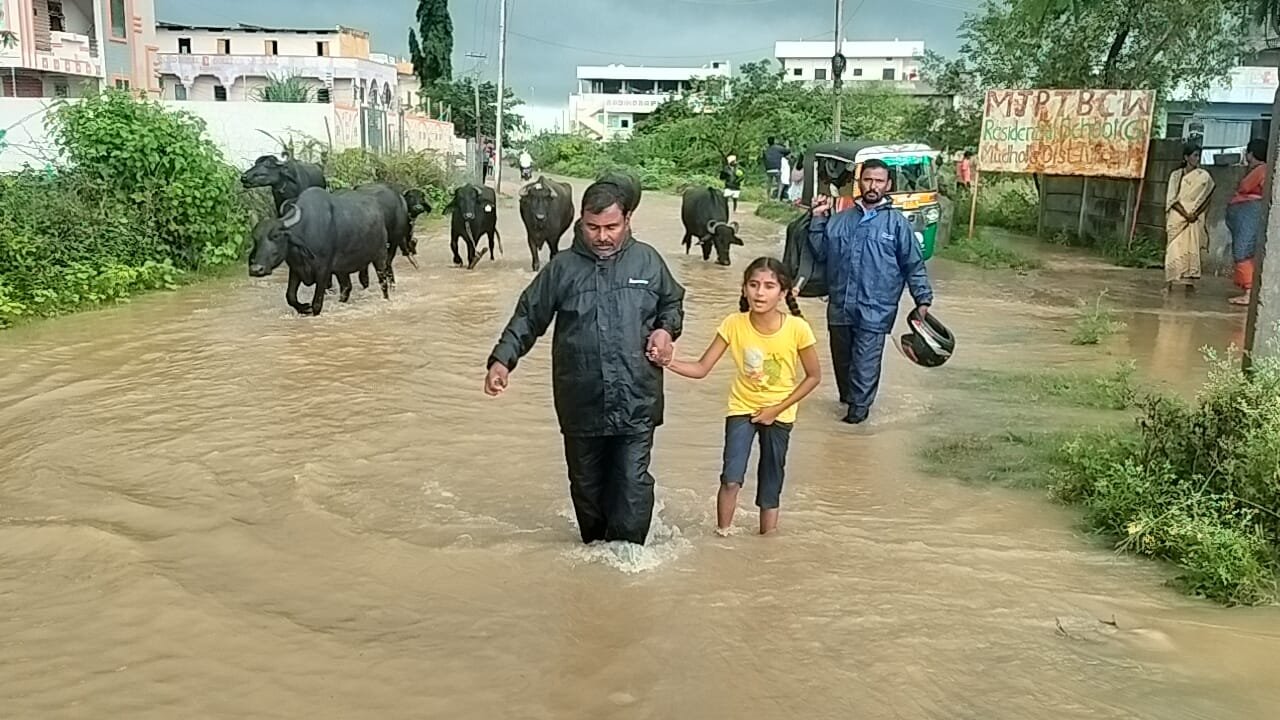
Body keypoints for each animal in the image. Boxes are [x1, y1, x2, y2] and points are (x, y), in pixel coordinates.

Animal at [248, 184, 389, 313]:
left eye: (276, 235)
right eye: (255, 238)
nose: (256, 269)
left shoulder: (323, 270)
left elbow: (316, 304)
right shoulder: (296, 269)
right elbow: (290, 296)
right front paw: (304, 308)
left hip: (380, 255)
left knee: (383, 282)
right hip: (341, 269)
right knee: (346, 287)